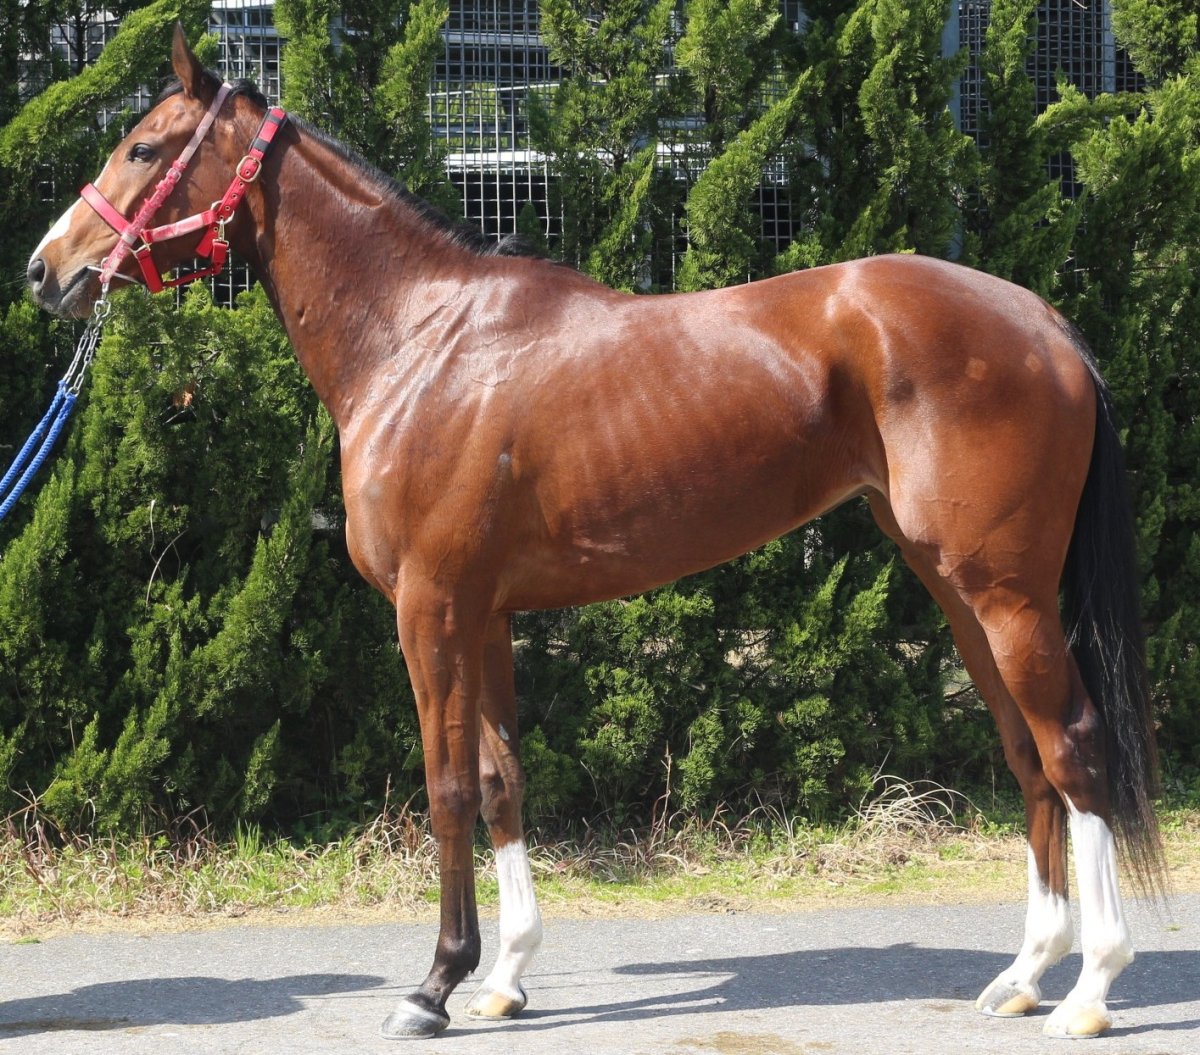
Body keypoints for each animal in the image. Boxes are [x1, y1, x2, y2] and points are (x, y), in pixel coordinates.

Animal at [25, 26, 1162, 1041]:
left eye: (141, 147)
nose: (45, 269)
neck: (420, 339)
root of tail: (1046, 323)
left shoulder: (430, 608)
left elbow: (446, 789)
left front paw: (433, 986)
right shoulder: (485, 613)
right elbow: (502, 780)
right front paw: (503, 979)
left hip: (1006, 593)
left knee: (1075, 746)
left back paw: (1093, 989)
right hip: (957, 587)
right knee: (1027, 754)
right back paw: (1024, 975)